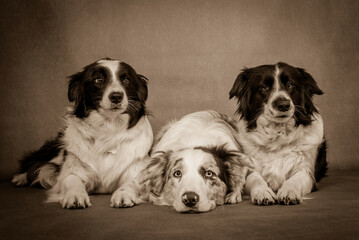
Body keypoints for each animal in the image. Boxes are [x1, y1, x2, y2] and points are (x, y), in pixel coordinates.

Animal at [11, 57, 153, 208]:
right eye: (98, 79)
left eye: (126, 80)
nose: (116, 96)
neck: (108, 127)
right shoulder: (72, 168)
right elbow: (72, 180)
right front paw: (75, 195)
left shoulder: (138, 169)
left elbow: (131, 183)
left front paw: (123, 194)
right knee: (37, 164)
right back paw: (20, 178)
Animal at [229, 62, 328, 205]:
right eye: (264, 87)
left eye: (290, 84)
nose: (283, 105)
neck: (276, 134)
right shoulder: (248, 169)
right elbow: (255, 179)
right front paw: (263, 192)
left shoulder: (307, 172)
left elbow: (294, 180)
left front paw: (289, 191)